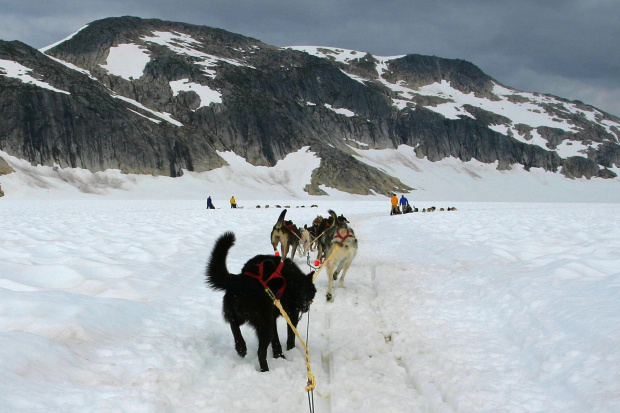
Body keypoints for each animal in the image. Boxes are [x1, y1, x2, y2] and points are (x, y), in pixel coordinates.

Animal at [207, 232, 318, 370]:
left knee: (234, 325)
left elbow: (276, 339)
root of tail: (238, 280)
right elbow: (290, 335)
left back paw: (241, 347)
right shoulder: (290, 314)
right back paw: (265, 370)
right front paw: (289, 351)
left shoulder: (274, 316)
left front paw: (278, 354)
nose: (306, 309)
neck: (294, 282)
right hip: (264, 323)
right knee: (260, 352)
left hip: (239, 314)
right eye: (309, 297)